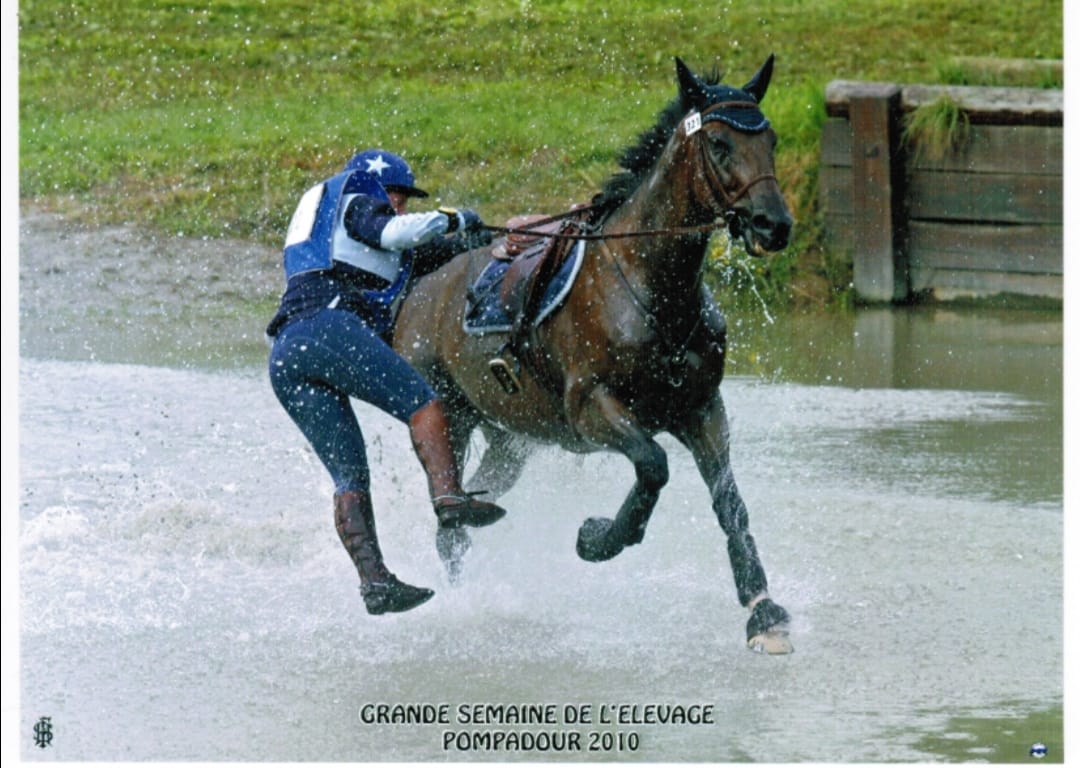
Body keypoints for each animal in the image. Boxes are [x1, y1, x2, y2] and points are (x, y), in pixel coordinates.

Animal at [393, 55, 795, 653]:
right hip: (450, 416)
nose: (775, 224)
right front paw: (597, 538)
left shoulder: (702, 408)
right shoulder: (592, 409)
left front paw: (763, 611)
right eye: (720, 144)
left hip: (509, 438)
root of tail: (418, 288)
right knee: (449, 521)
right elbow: (652, 466)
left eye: (770, 140)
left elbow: (730, 502)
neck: (651, 287)